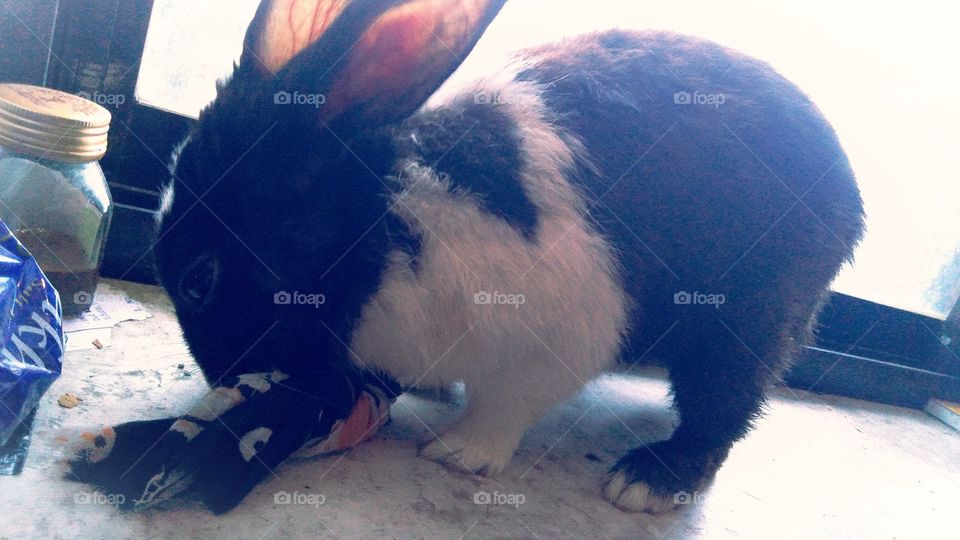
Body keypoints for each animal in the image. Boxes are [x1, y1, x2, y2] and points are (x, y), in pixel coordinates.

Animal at [67, 0, 864, 515]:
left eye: (200, 279)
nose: (225, 377)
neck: (380, 235)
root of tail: (848, 194)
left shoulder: (559, 330)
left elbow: (510, 402)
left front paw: (457, 452)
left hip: (749, 317)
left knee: (724, 403)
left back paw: (647, 480)